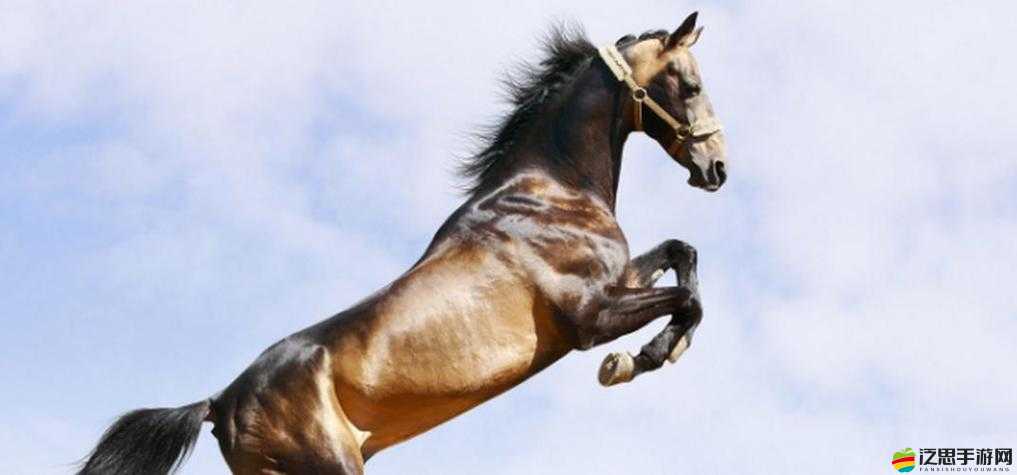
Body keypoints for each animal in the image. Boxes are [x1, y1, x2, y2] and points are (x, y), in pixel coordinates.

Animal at [78, 11, 726, 474]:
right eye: (691, 85)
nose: (716, 167)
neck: (550, 190)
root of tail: (218, 401)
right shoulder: (590, 318)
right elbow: (688, 300)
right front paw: (639, 359)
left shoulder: (618, 282)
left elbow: (683, 253)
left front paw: (658, 351)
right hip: (331, 466)